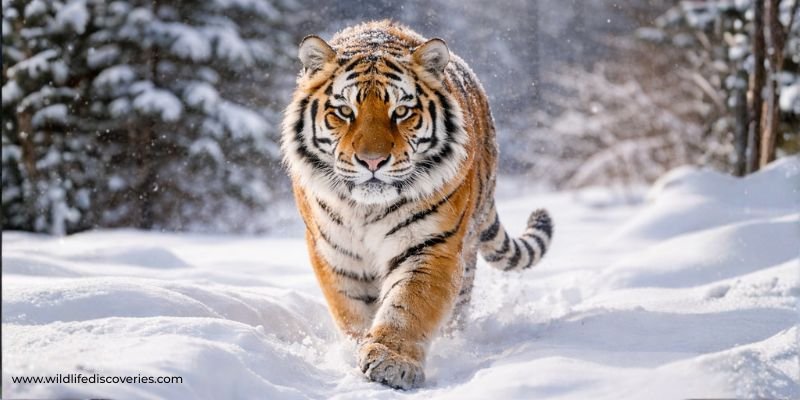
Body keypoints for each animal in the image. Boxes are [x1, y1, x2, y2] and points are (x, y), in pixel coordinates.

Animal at [281, 20, 553, 390]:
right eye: (344, 112)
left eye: (401, 112)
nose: (372, 161)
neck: (366, 210)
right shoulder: (336, 253)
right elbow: (353, 311)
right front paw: (360, 349)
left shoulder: (431, 245)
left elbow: (408, 307)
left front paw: (391, 362)